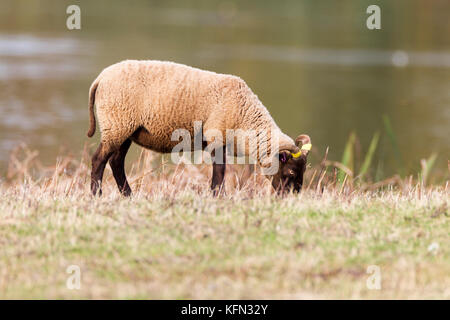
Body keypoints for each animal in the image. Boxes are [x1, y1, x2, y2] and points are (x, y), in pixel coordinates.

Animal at [86, 59, 312, 196]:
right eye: (291, 173)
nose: (290, 198)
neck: (245, 115)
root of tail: (100, 78)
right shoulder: (217, 137)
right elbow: (219, 172)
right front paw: (218, 196)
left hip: (126, 130)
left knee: (116, 162)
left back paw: (128, 196)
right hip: (117, 123)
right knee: (99, 160)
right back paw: (97, 195)